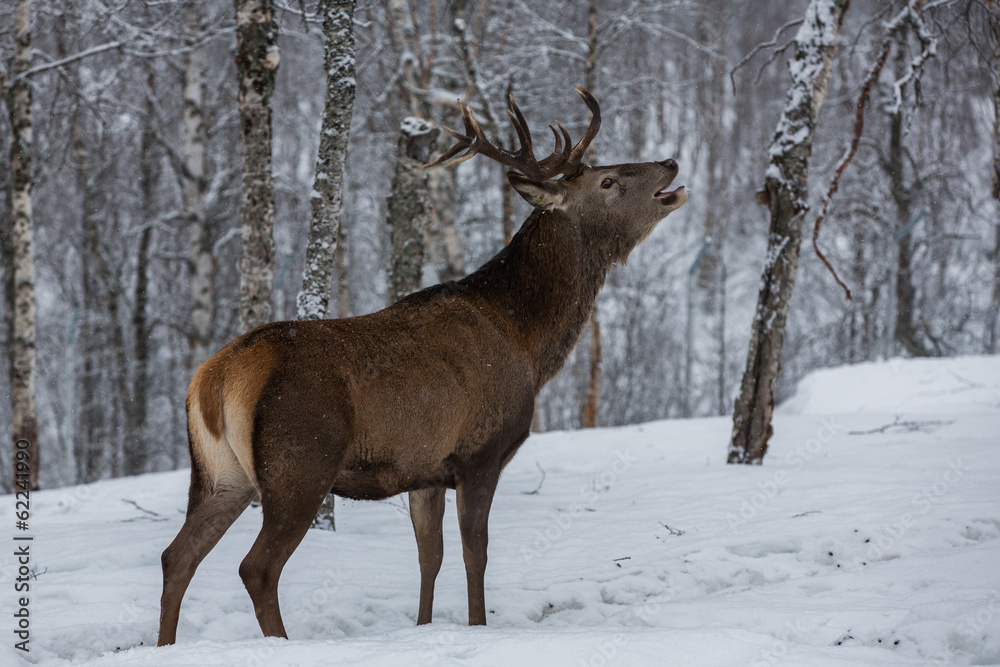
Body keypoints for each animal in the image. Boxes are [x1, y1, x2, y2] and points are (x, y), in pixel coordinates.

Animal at [156, 86, 688, 644]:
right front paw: (477, 626)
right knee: (256, 567)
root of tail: (213, 379)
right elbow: (475, 554)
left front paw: (423, 626)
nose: (669, 163)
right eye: (607, 181)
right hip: (298, 464)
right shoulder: (480, 452)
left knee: (177, 556)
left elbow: (428, 557)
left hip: (220, 474)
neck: (528, 345)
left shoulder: (426, 470)